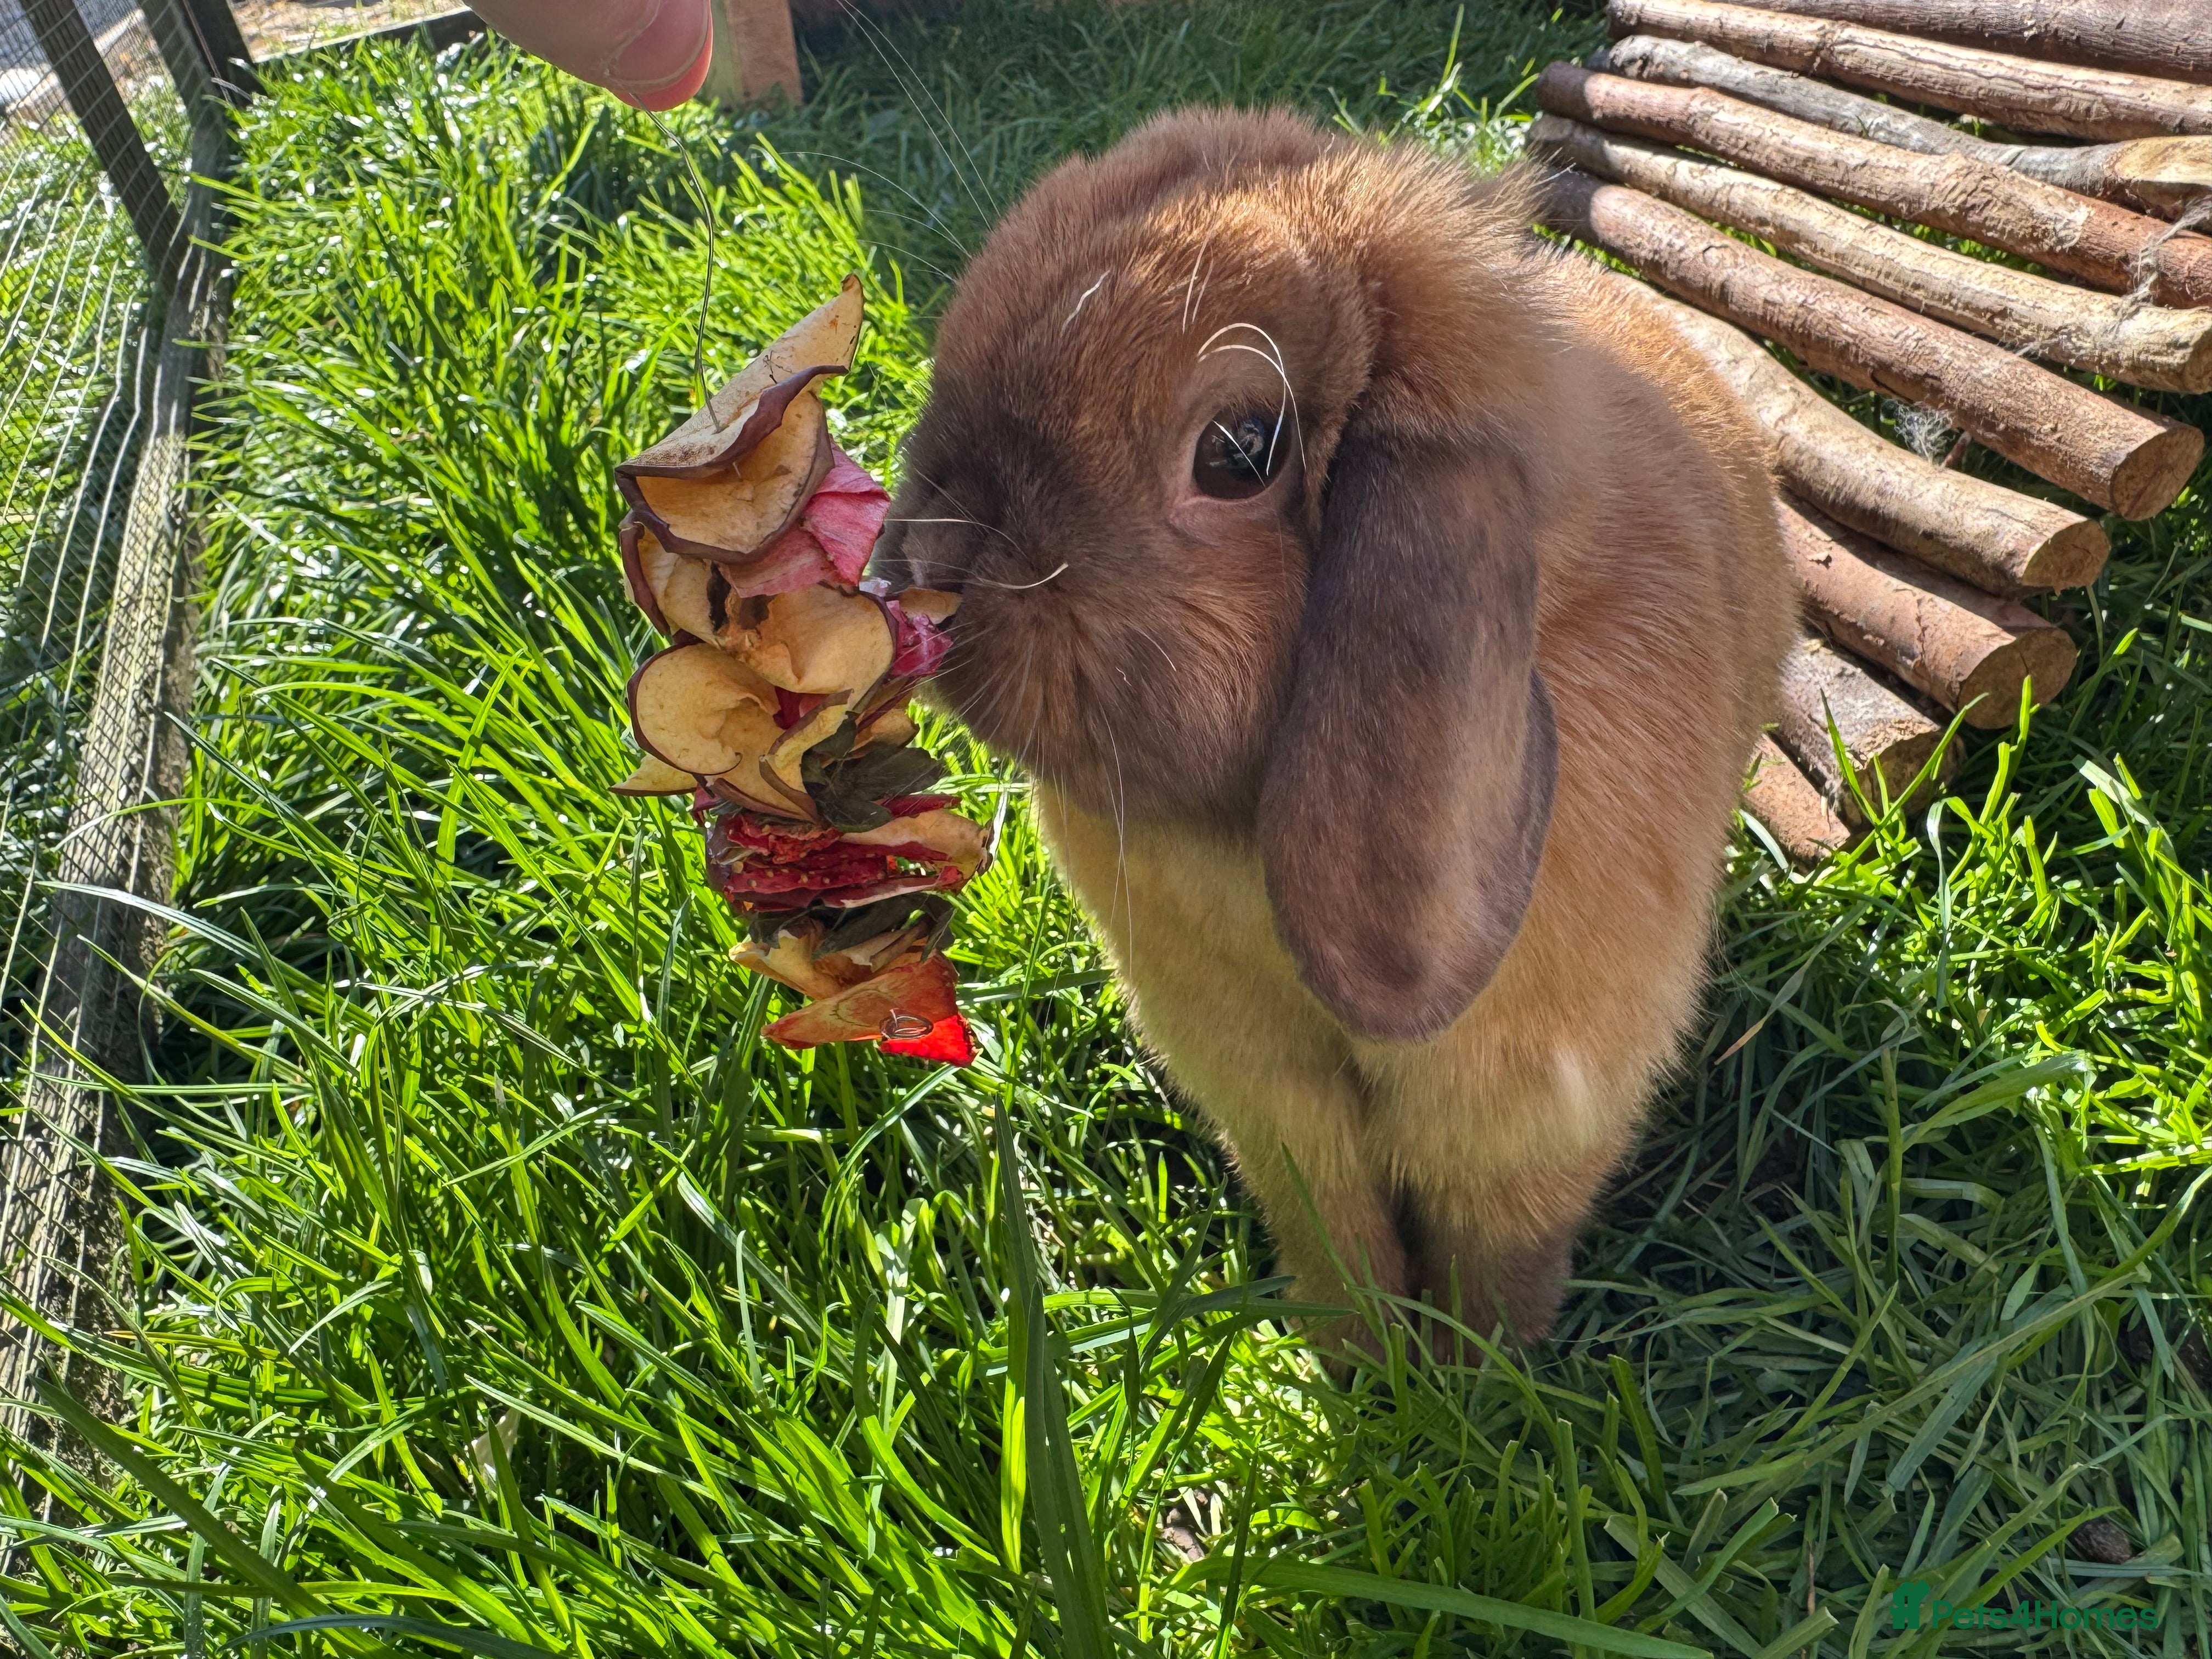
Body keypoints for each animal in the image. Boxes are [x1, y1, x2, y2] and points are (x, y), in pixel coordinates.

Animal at [870, 107, 1796, 1345]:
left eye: (1237, 452)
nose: (920, 561)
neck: (1236, 839)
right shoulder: (1270, 1098)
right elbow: (1333, 1225)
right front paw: (1359, 1353)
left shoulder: (1528, 1112)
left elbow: (1499, 1250)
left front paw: (1477, 1372)